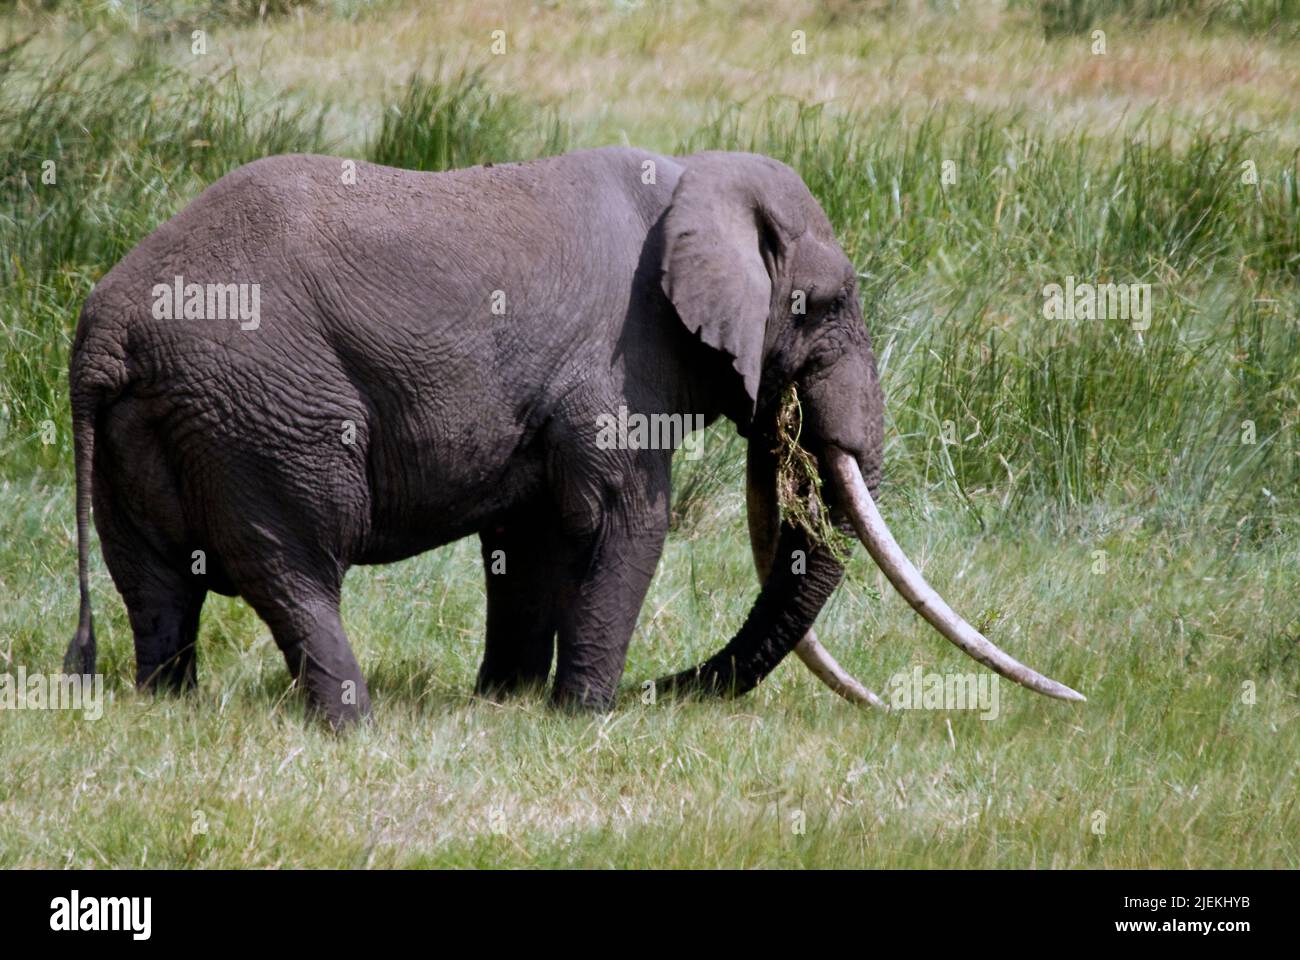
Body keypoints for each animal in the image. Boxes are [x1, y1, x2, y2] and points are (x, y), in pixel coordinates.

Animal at [63, 145, 1086, 723]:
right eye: (823, 306)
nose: (662, 692)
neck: (694, 176)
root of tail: (104, 329)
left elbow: (529, 539)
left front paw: (508, 707)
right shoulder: (621, 359)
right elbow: (624, 521)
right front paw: (586, 720)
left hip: (157, 425)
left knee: (156, 584)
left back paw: (171, 711)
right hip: (265, 415)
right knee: (298, 563)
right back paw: (352, 725)